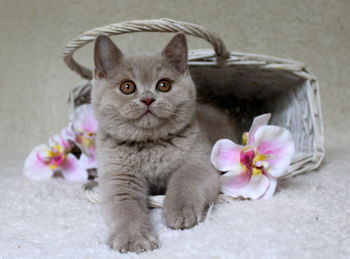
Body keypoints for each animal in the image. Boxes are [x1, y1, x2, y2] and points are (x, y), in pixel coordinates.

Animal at [91, 32, 237, 254]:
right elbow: (125, 208)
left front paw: (180, 211)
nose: (148, 99)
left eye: (164, 85)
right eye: (127, 87)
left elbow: (185, 179)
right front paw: (134, 238)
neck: (150, 144)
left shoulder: (199, 162)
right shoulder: (119, 176)